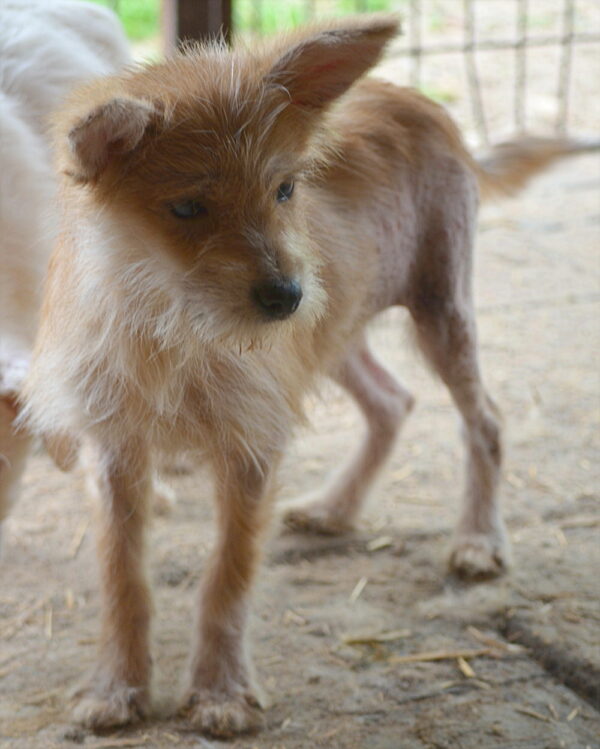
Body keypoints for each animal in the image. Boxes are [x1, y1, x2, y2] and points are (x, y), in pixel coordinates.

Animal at [23, 16, 580, 736]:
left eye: (286, 190)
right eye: (187, 208)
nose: (285, 295)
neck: (172, 322)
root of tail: (423, 103)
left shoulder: (253, 443)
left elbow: (227, 574)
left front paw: (221, 690)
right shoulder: (115, 451)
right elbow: (124, 579)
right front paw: (117, 686)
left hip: (438, 310)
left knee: (484, 420)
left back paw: (479, 540)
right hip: (334, 327)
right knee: (392, 402)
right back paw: (334, 508)